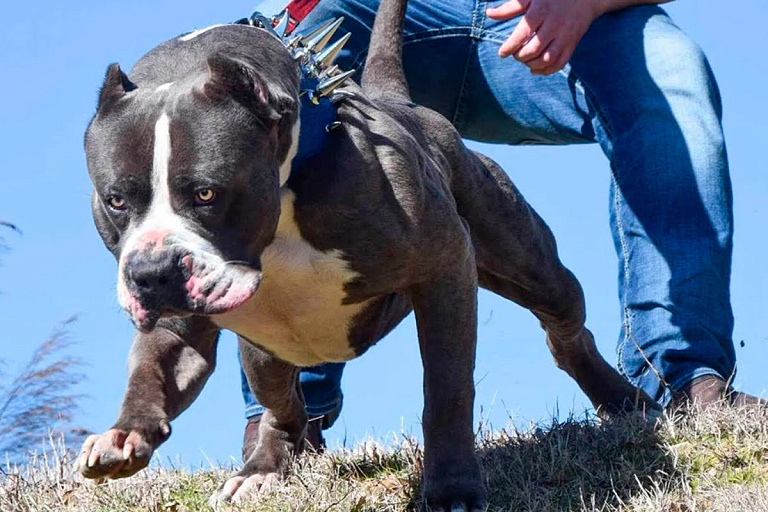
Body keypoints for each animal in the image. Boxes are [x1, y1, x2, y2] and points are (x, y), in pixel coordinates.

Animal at [76, 0, 656, 506]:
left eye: (206, 193)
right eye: (116, 200)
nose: (152, 273)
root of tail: (397, 99)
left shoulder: (445, 268)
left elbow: (446, 391)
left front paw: (453, 489)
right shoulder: (179, 325)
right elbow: (152, 371)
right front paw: (125, 435)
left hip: (527, 260)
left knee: (565, 327)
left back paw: (624, 399)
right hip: (262, 351)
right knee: (282, 407)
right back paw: (262, 469)